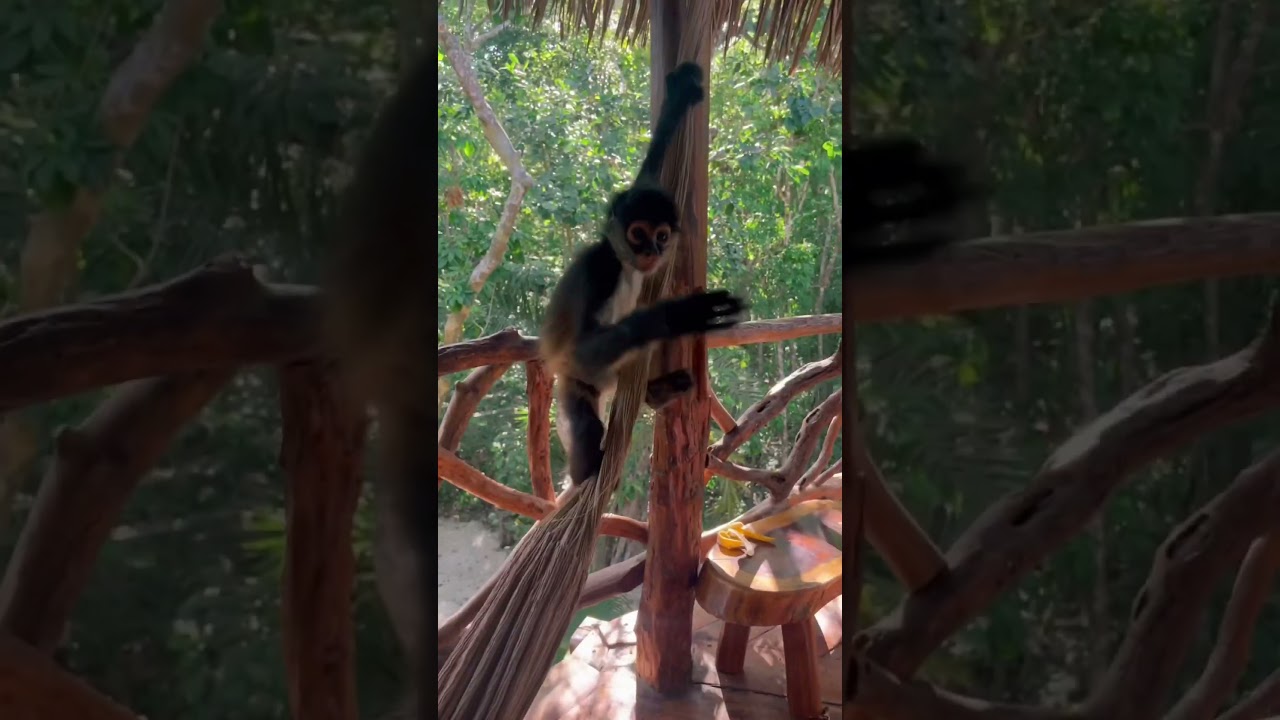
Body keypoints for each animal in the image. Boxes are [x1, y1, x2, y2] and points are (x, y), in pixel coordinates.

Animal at [540, 61, 746, 487]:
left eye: (662, 236)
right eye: (638, 234)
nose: (651, 250)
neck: (625, 263)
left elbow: (650, 169)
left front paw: (679, 98)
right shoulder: (601, 270)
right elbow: (582, 348)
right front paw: (673, 316)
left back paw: (657, 392)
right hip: (577, 383)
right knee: (586, 422)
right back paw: (587, 473)